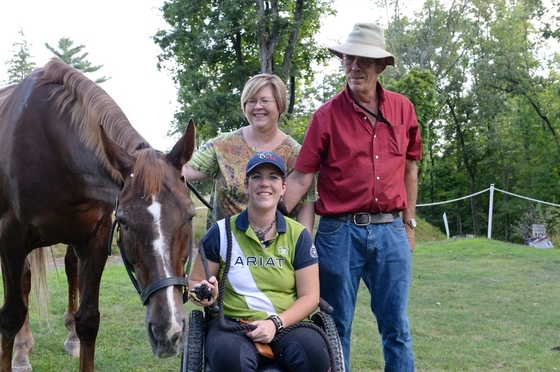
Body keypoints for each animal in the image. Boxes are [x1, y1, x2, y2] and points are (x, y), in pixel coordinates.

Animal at [0, 56, 197, 370]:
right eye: (125, 223)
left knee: (67, 269)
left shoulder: (95, 239)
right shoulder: (11, 240)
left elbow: (89, 319)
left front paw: (77, 337)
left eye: (189, 216)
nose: (169, 332)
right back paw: (22, 351)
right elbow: (11, 315)